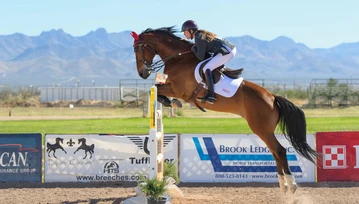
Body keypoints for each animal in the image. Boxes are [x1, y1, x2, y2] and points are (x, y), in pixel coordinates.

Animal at [131, 26, 318, 194]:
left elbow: (157, 87)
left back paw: (291, 185)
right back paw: (283, 186)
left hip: (261, 129)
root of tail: (272, 97)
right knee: (274, 152)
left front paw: (171, 102)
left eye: (137, 49)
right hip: (264, 131)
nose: (142, 73)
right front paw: (171, 102)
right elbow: (158, 87)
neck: (178, 59)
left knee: (279, 151)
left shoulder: (178, 89)